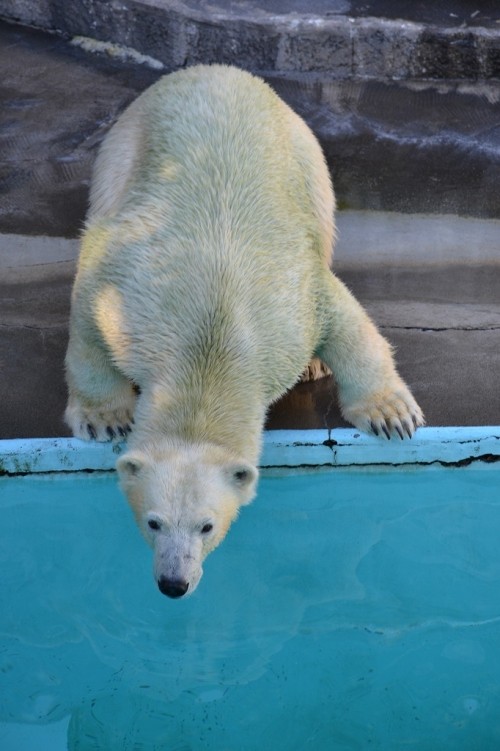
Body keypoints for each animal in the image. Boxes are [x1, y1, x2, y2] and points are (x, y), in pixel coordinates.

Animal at [64, 64, 424, 600]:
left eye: (206, 526)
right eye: (153, 522)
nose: (174, 583)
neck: (211, 336)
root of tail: (216, 70)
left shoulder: (290, 307)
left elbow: (344, 317)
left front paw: (391, 415)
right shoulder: (125, 293)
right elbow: (88, 316)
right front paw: (105, 418)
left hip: (305, 155)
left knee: (324, 223)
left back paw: (314, 365)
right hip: (124, 146)